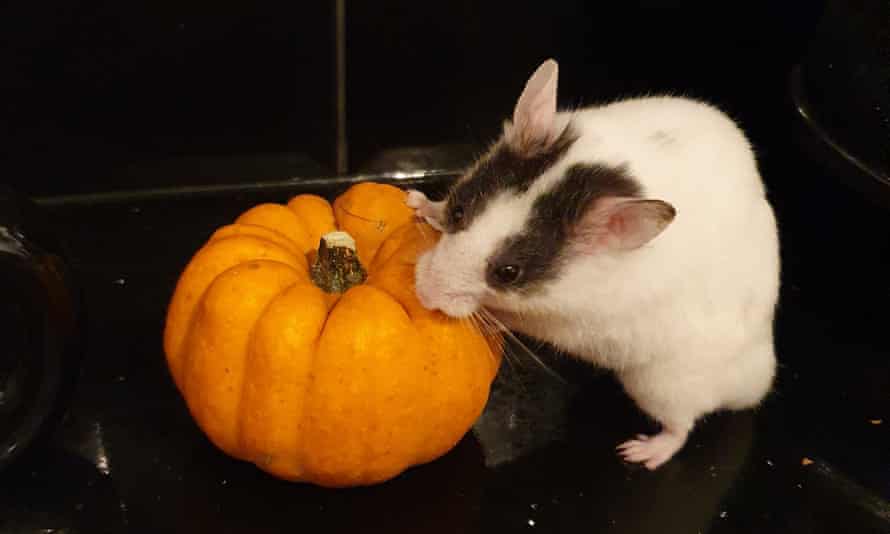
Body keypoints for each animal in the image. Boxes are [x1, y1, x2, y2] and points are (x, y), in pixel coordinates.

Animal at [407, 59, 780, 470]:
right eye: (459, 211)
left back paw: (641, 453)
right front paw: (418, 203)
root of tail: (757, 380)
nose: (422, 292)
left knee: (681, 426)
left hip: (663, 384)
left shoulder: (569, 324)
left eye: (508, 273)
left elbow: (510, 315)